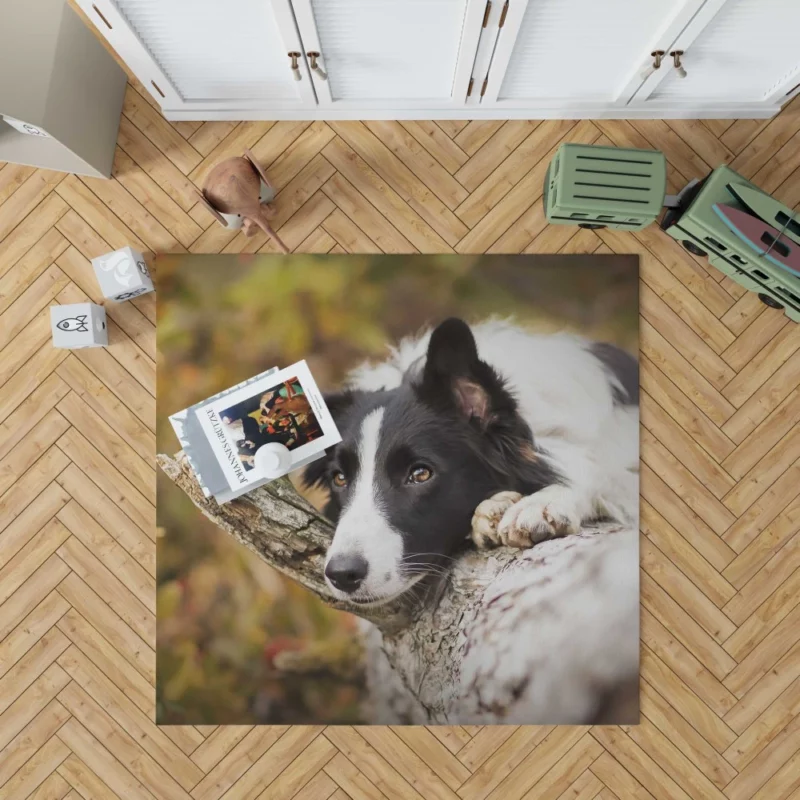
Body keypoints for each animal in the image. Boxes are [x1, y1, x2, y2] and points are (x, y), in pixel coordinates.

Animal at [304, 318, 636, 608]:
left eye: (420, 473)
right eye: (340, 478)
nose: (342, 574)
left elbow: (602, 473)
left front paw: (541, 503)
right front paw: (493, 509)